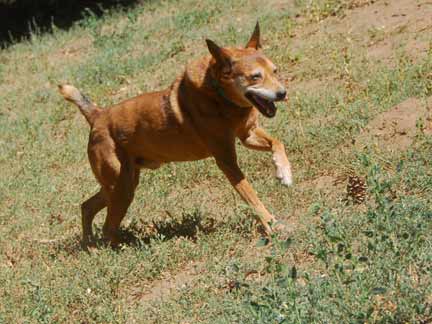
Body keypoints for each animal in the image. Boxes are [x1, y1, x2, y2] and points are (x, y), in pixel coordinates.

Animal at [59, 22, 292, 246]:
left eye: (275, 71)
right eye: (255, 77)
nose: (283, 93)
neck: (220, 96)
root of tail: (97, 116)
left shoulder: (247, 135)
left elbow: (277, 142)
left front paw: (284, 172)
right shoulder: (226, 160)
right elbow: (250, 195)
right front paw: (272, 225)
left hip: (123, 183)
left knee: (87, 207)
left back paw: (90, 244)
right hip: (120, 187)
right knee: (107, 226)